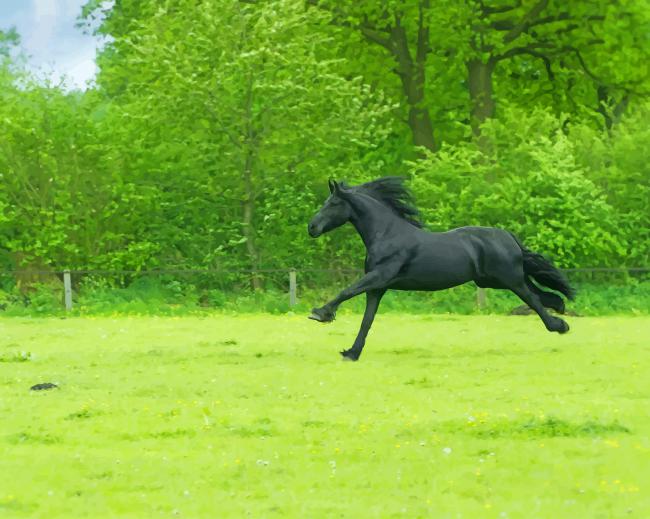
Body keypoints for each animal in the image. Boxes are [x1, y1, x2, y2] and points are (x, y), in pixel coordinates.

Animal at [307, 177, 575, 361]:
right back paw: (560, 308)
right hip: (494, 280)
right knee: (542, 294)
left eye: (333, 203)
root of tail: (508, 236)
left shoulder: (379, 276)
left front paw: (321, 314)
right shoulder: (378, 287)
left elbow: (347, 291)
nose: (311, 227)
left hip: (509, 279)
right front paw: (352, 352)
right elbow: (367, 320)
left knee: (533, 299)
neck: (386, 234)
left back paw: (559, 326)